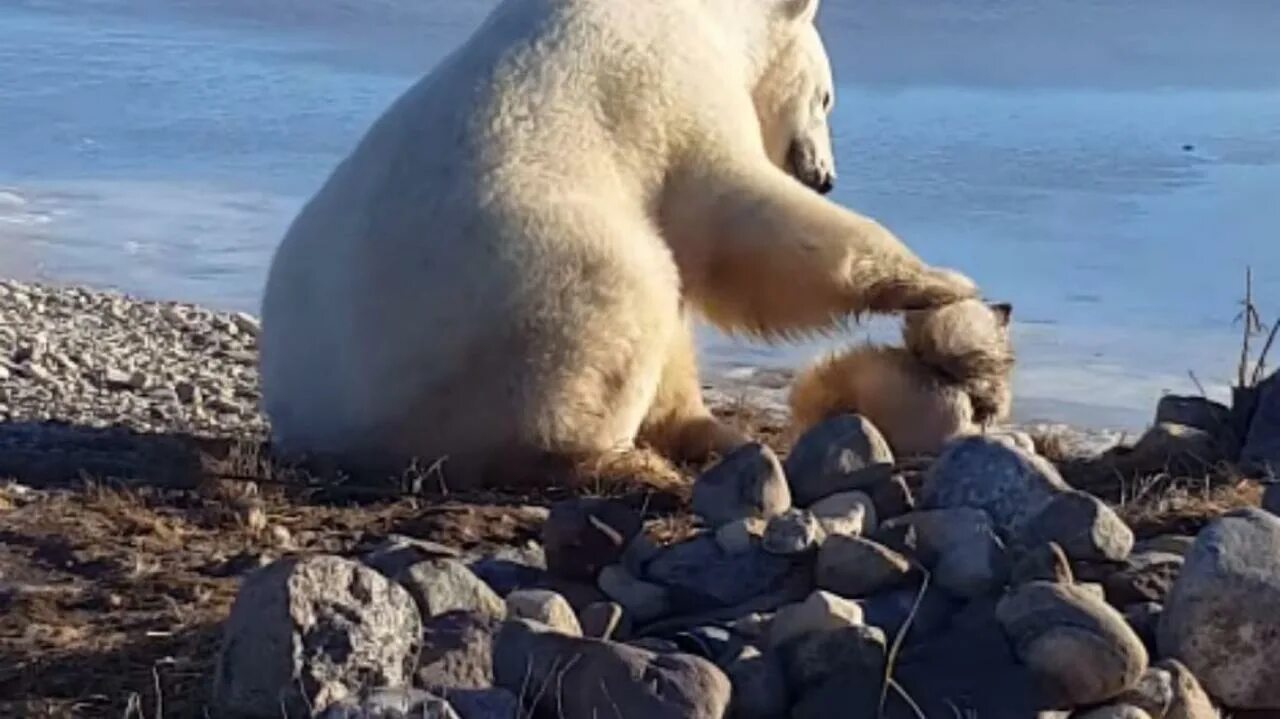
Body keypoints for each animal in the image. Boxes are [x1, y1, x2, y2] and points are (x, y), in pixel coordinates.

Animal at [262, 0, 977, 486]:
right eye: (826, 96)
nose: (824, 175)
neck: (706, 15)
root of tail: (331, 427)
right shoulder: (673, 90)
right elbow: (742, 218)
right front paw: (941, 282)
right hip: (519, 295)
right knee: (624, 302)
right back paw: (621, 462)